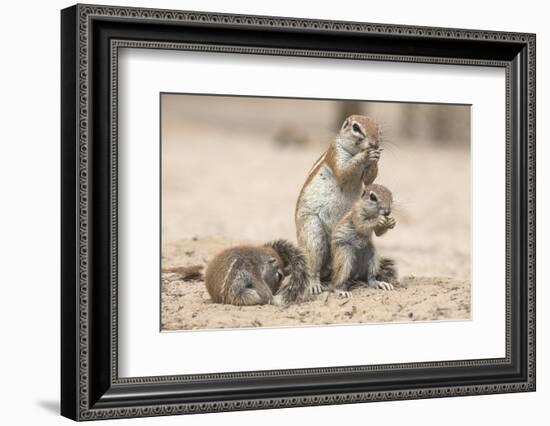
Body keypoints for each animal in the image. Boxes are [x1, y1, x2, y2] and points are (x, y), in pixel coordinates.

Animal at [298, 115, 384, 296]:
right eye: (356, 128)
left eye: (379, 129)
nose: (374, 143)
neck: (354, 151)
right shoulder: (336, 153)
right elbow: (344, 171)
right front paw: (366, 154)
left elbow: (369, 179)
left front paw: (376, 157)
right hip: (312, 232)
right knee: (313, 265)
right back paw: (314, 285)